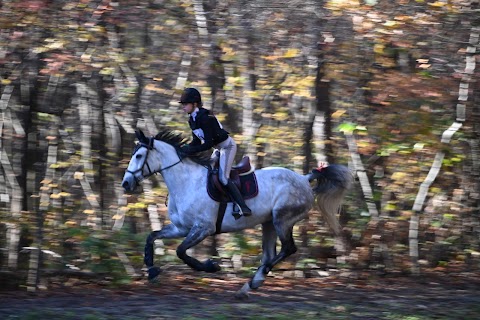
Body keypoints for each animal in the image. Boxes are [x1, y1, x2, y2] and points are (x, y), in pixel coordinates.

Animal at [121, 129, 352, 298]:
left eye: (139, 155)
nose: (126, 184)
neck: (186, 181)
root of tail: (304, 179)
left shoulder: (203, 228)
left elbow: (181, 251)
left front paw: (211, 266)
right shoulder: (180, 228)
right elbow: (152, 237)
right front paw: (152, 270)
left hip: (282, 219)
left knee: (288, 248)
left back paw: (254, 282)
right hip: (268, 223)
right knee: (270, 254)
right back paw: (249, 286)